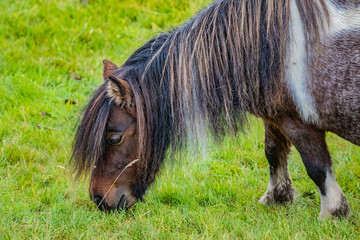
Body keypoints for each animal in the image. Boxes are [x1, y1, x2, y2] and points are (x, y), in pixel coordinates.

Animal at [71, 0, 358, 218]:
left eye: (114, 137)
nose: (98, 199)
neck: (269, 45)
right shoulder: (276, 117)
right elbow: (273, 152)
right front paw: (276, 198)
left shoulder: (299, 123)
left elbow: (317, 166)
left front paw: (332, 213)